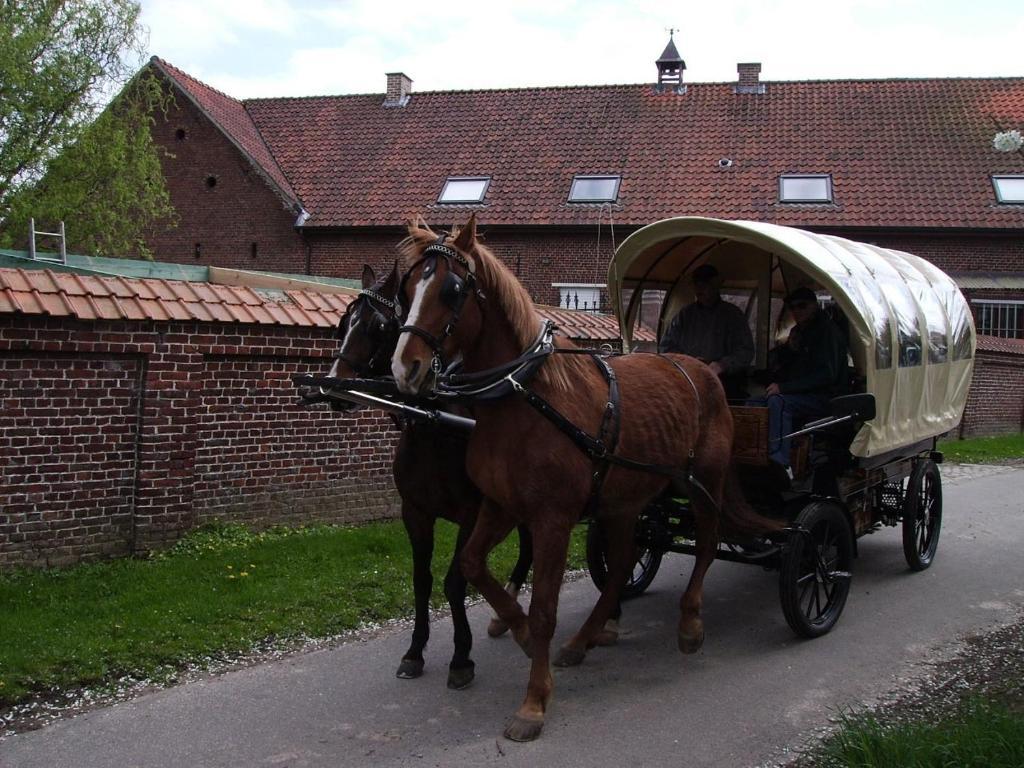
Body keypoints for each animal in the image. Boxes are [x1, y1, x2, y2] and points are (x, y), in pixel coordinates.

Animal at [329, 264, 536, 692]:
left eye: (378, 326)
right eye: (344, 322)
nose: (335, 384)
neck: (436, 422)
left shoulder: (473, 514)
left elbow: (454, 582)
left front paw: (461, 658)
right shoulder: (416, 512)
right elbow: (421, 580)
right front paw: (414, 651)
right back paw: (506, 610)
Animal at [391, 217, 774, 745]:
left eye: (451, 290)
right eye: (407, 288)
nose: (404, 367)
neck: (528, 398)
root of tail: (699, 369)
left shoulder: (551, 520)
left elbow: (545, 607)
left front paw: (533, 702)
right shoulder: (500, 507)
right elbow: (472, 566)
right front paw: (518, 631)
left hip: (704, 483)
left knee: (707, 543)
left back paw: (690, 622)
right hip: (626, 500)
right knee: (622, 563)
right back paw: (586, 637)